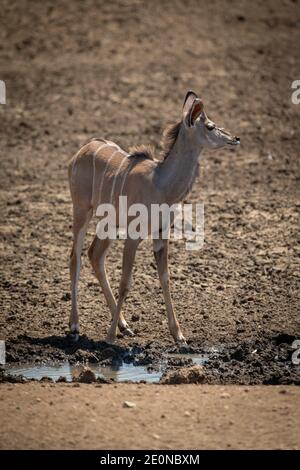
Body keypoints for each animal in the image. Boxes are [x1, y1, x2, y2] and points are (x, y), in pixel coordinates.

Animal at [68, 91, 239, 342]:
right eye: (210, 126)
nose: (235, 138)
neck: (162, 183)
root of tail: (81, 152)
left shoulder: (161, 233)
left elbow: (165, 278)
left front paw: (179, 336)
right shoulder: (133, 235)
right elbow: (125, 282)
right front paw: (109, 337)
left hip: (108, 223)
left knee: (94, 254)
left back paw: (124, 325)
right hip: (82, 210)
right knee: (76, 257)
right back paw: (75, 326)